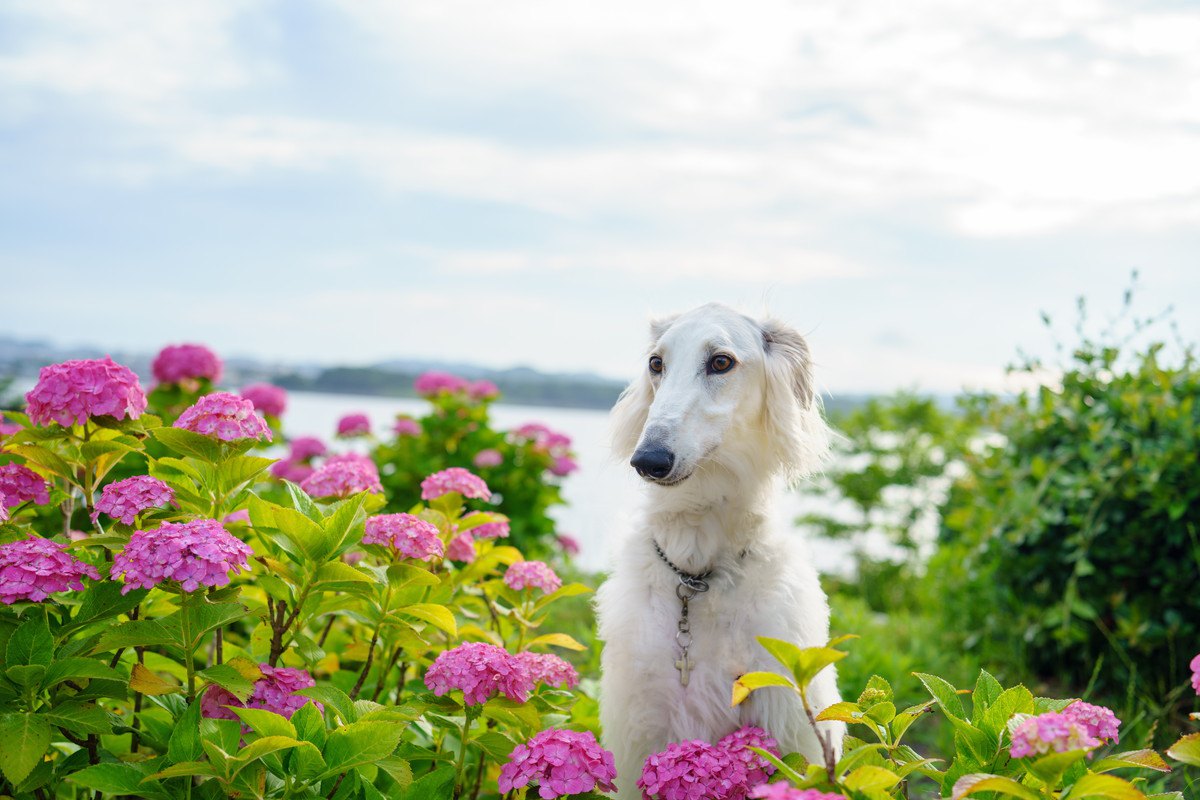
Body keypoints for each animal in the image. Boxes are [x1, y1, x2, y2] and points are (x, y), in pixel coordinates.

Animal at [597, 304, 844, 796]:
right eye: (656, 363)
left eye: (721, 362)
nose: (648, 460)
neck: (695, 574)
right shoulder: (639, 728)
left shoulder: (790, 718)